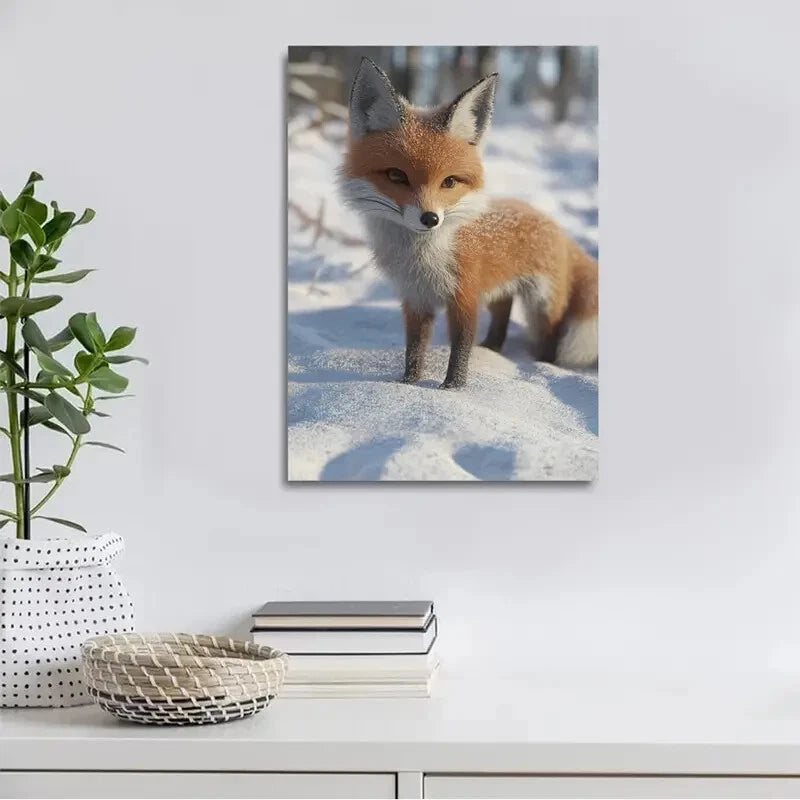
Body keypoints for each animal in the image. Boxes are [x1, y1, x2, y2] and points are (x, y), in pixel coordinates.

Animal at [339, 57, 598, 389]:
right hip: (503, 290)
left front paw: (454, 389)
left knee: (550, 333)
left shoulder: (464, 296)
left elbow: (460, 348)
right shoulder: (415, 298)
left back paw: (543, 364)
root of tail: (550, 222)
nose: (430, 219)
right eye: (397, 175)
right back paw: (492, 347)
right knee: (502, 313)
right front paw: (408, 384)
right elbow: (415, 347)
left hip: (543, 303)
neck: (423, 260)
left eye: (449, 181)